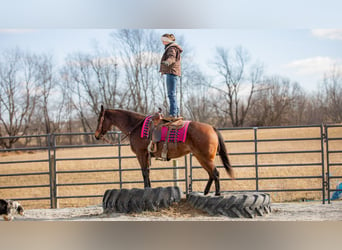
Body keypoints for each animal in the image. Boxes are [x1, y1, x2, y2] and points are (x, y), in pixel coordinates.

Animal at [93, 105, 234, 195]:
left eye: (99, 119)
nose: (96, 135)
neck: (135, 126)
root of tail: (212, 128)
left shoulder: (141, 154)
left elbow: (144, 172)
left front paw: (146, 189)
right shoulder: (146, 155)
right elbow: (147, 172)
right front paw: (149, 188)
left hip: (205, 157)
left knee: (215, 173)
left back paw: (217, 193)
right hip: (201, 157)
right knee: (211, 174)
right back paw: (205, 192)